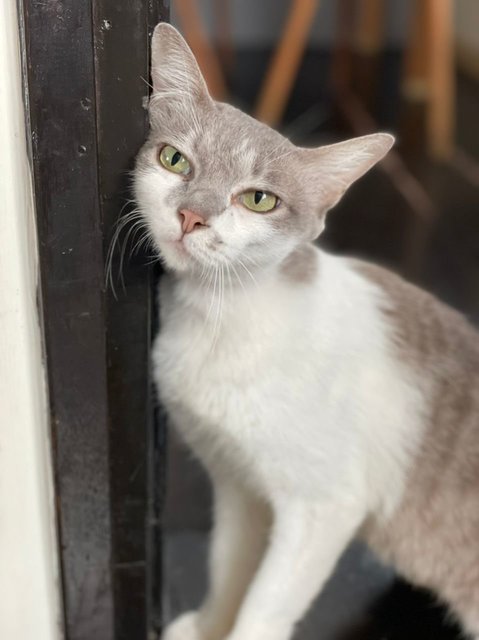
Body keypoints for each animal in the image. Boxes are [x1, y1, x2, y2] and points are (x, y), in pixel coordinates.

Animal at [133, 23, 479, 640]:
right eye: (175, 160)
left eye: (258, 199)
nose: (192, 216)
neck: (222, 319)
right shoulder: (238, 484)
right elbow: (228, 565)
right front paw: (208, 626)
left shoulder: (323, 507)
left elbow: (265, 605)